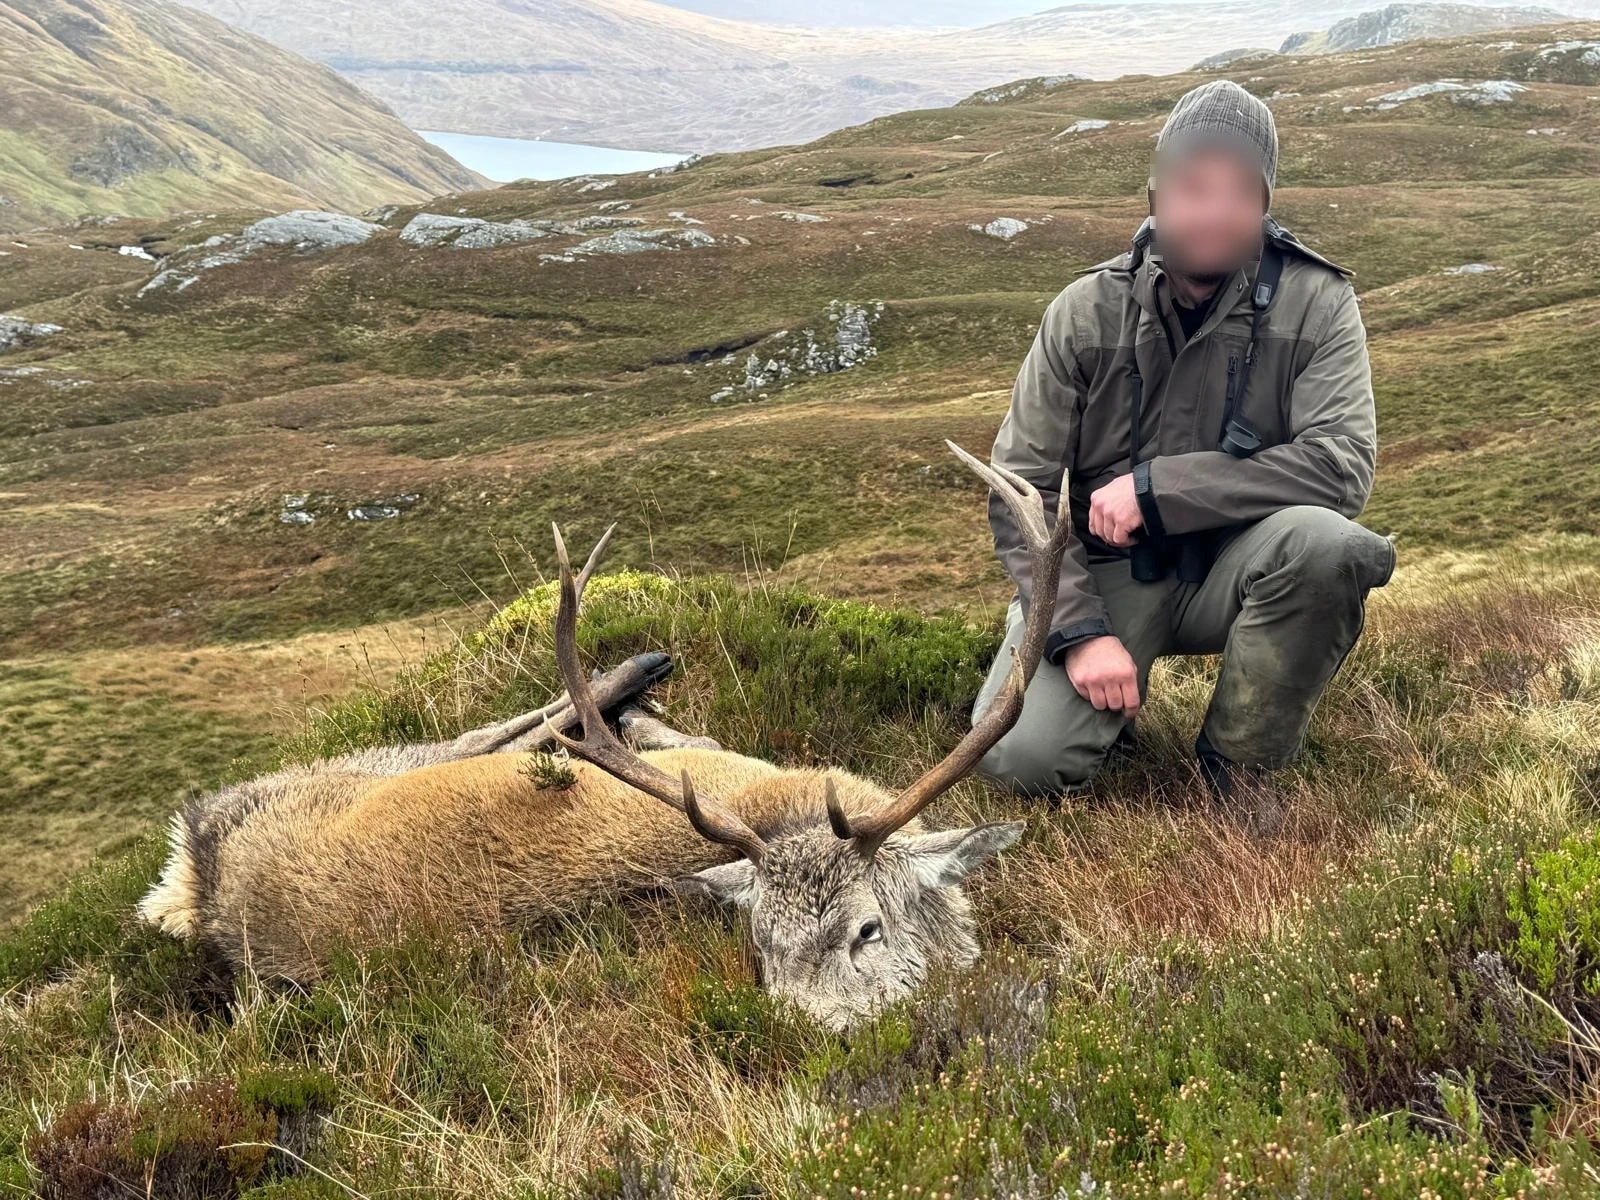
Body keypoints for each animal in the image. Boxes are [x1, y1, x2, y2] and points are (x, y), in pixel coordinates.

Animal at [139, 442, 1070, 1029]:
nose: (818, 1029)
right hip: (346, 770)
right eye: (760, 944)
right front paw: (644, 706)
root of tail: (201, 875)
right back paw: (630, 675)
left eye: (867, 930)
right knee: (495, 732)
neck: (798, 804)